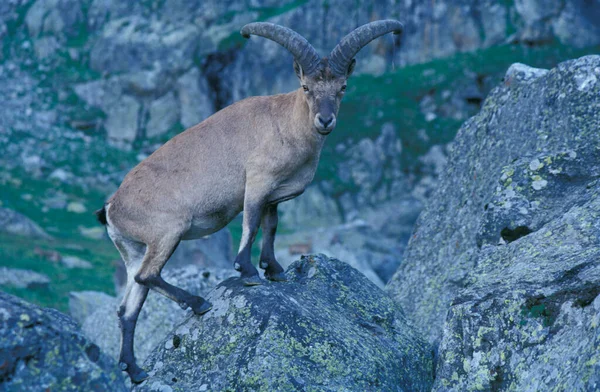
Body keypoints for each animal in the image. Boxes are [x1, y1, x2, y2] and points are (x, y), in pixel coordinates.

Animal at [95, 20, 404, 382]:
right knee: (147, 276)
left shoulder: (274, 195)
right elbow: (253, 223)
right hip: (167, 232)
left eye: (342, 87)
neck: (286, 123)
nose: (325, 121)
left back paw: (135, 369)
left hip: (133, 249)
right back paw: (197, 303)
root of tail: (112, 208)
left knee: (128, 307)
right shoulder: (256, 182)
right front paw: (248, 270)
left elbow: (271, 226)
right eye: (305, 87)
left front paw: (275, 269)